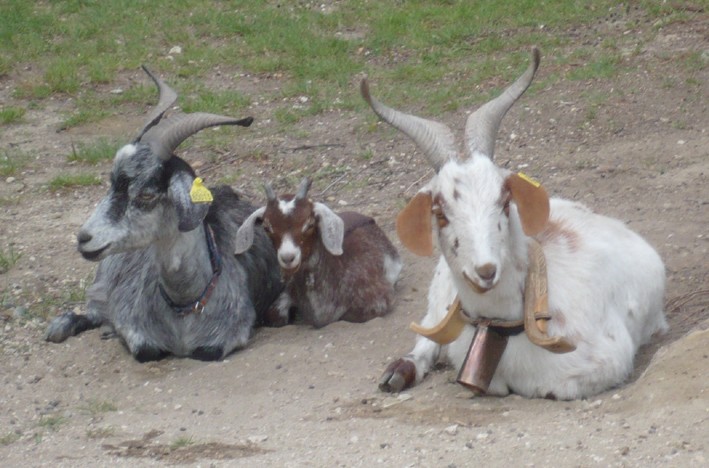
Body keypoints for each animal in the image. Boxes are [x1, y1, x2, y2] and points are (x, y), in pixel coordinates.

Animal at [42, 66, 282, 362]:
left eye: (147, 194)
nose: (84, 238)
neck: (184, 303)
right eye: (111, 184)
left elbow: (208, 351)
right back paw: (63, 325)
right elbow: (145, 350)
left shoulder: (229, 335)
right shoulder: (134, 325)